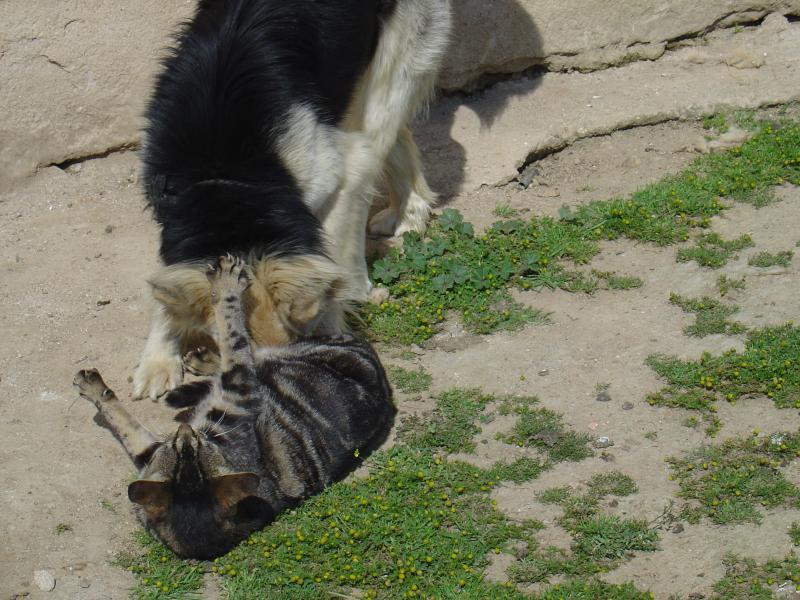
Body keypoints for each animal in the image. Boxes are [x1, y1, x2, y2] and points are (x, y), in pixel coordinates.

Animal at [76, 255, 396, 560]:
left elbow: (232, 331)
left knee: (253, 343)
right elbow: (126, 424)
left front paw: (226, 286)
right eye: (182, 453)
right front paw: (96, 392)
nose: (185, 433)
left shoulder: (237, 390)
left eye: (193, 450)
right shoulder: (153, 455)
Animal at [134, 2, 454, 400]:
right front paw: (158, 359)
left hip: (392, 63)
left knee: (382, 133)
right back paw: (408, 211)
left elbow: (333, 264)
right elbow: (166, 288)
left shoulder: (337, 169)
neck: (224, 180)